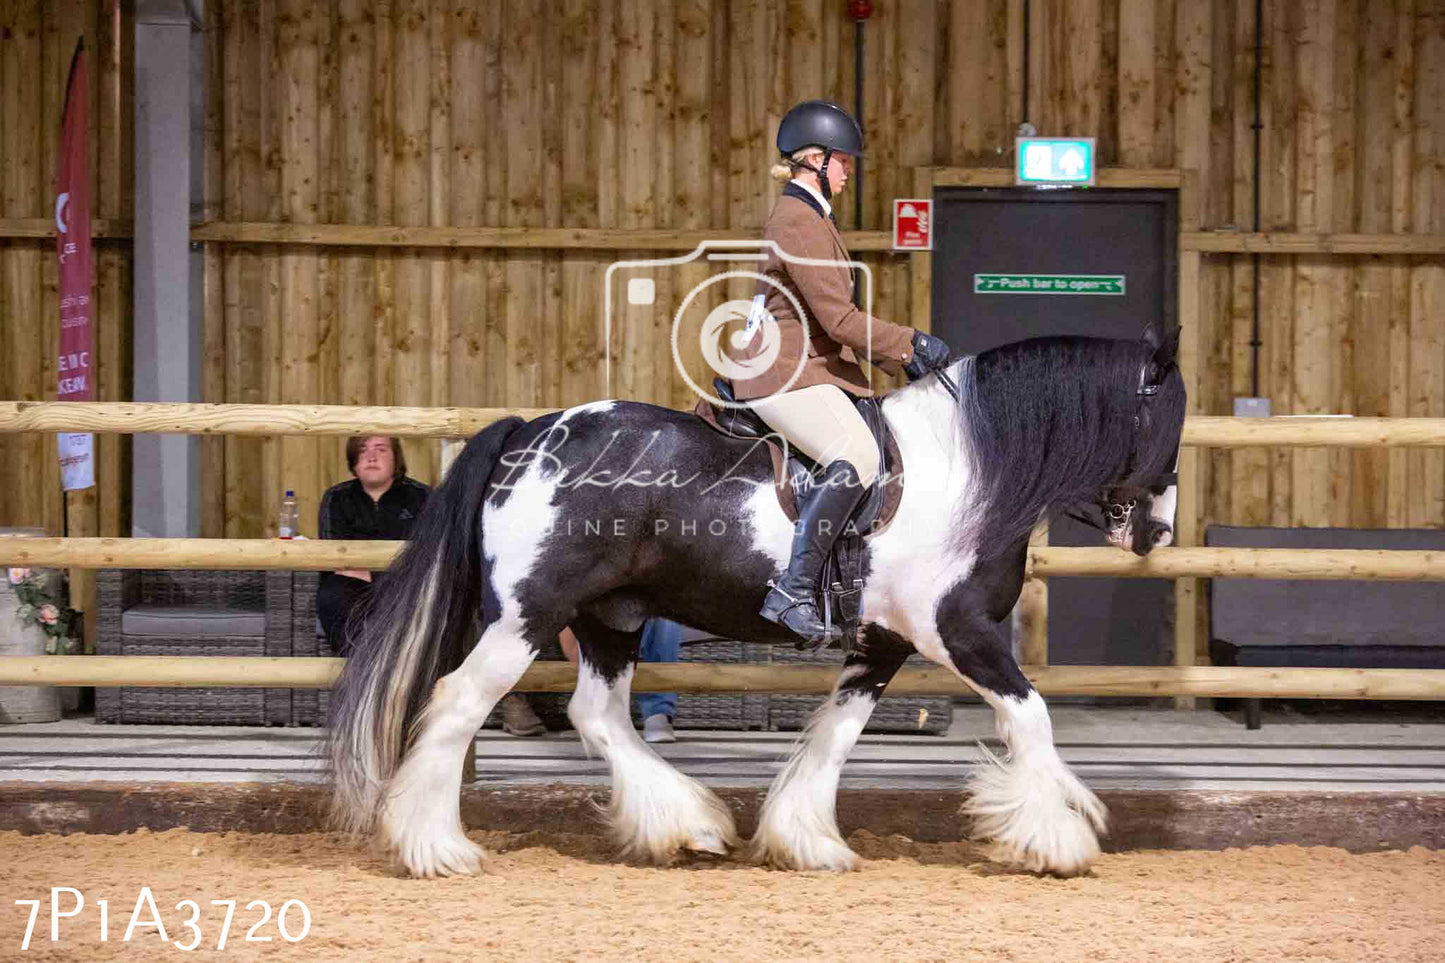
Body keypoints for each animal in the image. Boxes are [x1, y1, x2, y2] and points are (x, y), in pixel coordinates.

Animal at [328, 328, 1184, 879]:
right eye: (1166, 420)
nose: (1158, 532)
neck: (967, 471)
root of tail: (529, 434)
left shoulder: (881, 643)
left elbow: (835, 736)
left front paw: (808, 841)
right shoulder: (958, 631)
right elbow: (1029, 716)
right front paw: (1057, 838)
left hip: (610, 614)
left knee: (595, 714)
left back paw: (685, 826)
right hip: (526, 617)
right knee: (457, 701)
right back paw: (436, 848)